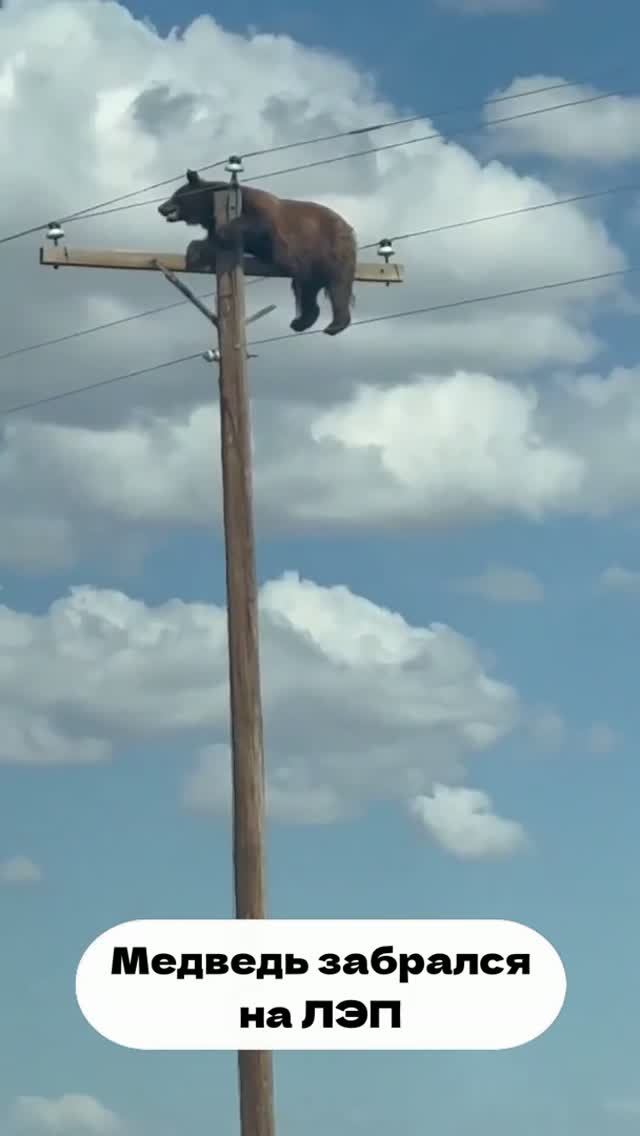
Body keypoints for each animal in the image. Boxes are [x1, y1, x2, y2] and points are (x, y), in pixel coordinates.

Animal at [157, 169, 357, 336]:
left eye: (175, 195)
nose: (160, 207)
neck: (210, 206)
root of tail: (348, 227)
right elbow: (211, 243)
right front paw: (194, 251)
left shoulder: (256, 209)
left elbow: (256, 224)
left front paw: (222, 234)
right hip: (309, 264)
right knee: (306, 289)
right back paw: (301, 322)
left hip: (332, 247)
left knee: (338, 285)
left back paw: (335, 324)